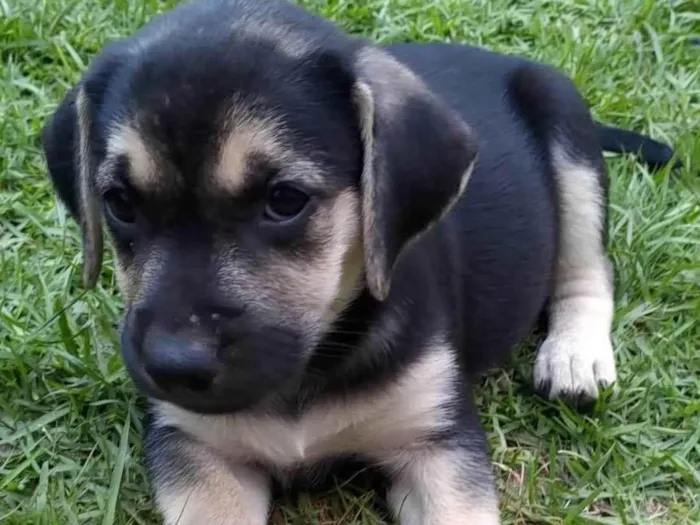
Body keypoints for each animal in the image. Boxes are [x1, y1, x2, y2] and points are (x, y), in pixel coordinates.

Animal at [41, 1, 676, 524]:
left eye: (284, 200)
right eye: (119, 204)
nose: (173, 367)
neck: (311, 369)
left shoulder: (438, 443)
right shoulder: (196, 449)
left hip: (568, 134)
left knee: (589, 270)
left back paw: (575, 356)